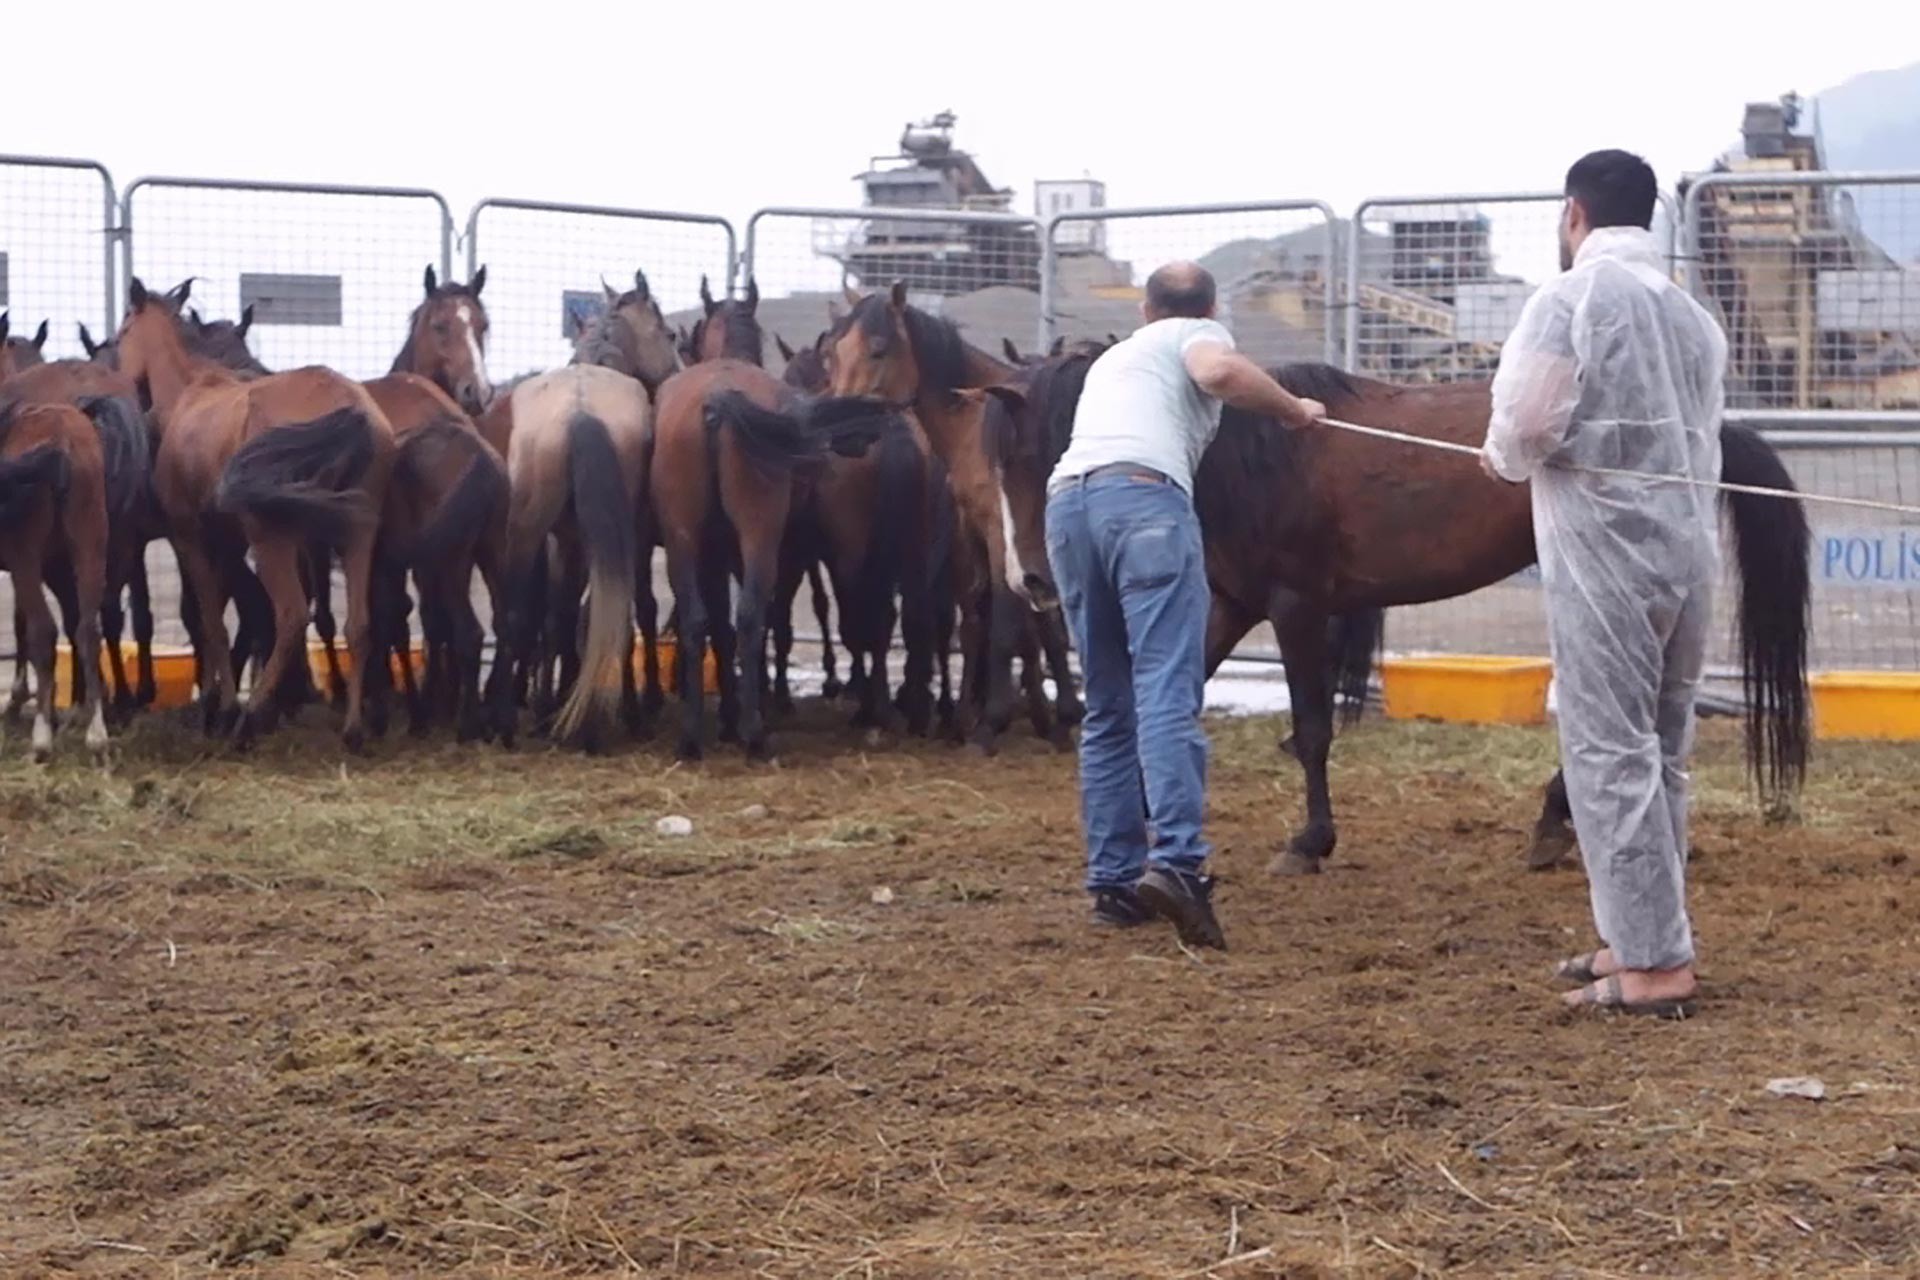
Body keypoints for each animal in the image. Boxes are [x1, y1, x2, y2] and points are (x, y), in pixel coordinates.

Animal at [0, 401, 112, 759]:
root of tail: (63, 438)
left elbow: (24, 626)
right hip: (90, 545)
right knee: (88, 631)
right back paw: (96, 735)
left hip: (27, 556)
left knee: (44, 631)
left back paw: (42, 739)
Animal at [113, 274, 397, 744]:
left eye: (122, 333)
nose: (124, 385)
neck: (190, 395)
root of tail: (352, 408)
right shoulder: (226, 541)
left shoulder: (191, 537)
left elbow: (210, 621)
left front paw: (221, 706)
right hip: (356, 535)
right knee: (359, 624)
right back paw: (353, 730)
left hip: (273, 539)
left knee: (292, 615)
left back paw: (249, 719)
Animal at [1013, 360, 1804, 882]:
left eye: (1066, 444)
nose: (1038, 582)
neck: (1254, 454)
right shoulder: (1232, 604)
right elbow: (1169, 699)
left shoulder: (1297, 607)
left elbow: (1312, 732)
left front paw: (1309, 842)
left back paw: (1562, 820)